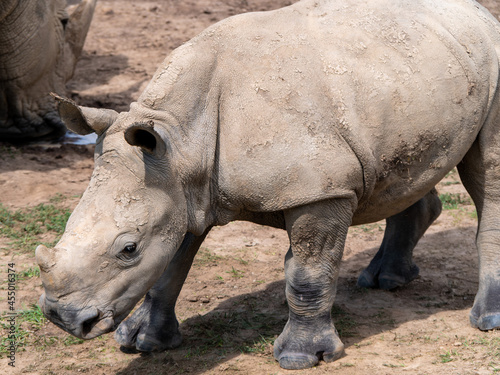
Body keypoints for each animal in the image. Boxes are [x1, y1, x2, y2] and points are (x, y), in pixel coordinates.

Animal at [36, 0, 500, 372]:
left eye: (128, 249)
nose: (62, 318)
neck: (181, 139)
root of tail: (475, 10)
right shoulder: (180, 190)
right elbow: (169, 264)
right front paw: (142, 342)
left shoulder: (321, 191)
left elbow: (307, 273)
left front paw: (301, 358)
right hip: (413, 73)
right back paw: (384, 280)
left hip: (491, 61)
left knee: (488, 175)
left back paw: (486, 320)